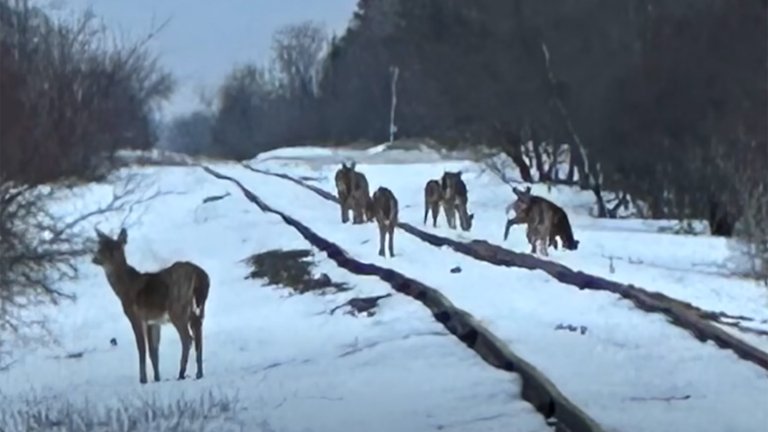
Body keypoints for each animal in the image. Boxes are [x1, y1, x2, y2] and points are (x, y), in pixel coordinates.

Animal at [92, 228, 210, 384]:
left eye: (111, 249)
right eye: (100, 246)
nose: (94, 258)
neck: (125, 288)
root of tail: (200, 276)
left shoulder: (136, 316)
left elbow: (142, 348)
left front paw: (143, 379)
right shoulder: (153, 321)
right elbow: (154, 352)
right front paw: (157, 378)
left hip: (177, 307)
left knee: (187, 339)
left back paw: (181, 373)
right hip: (198, 309)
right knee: (198, 335)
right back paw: (199, 373)